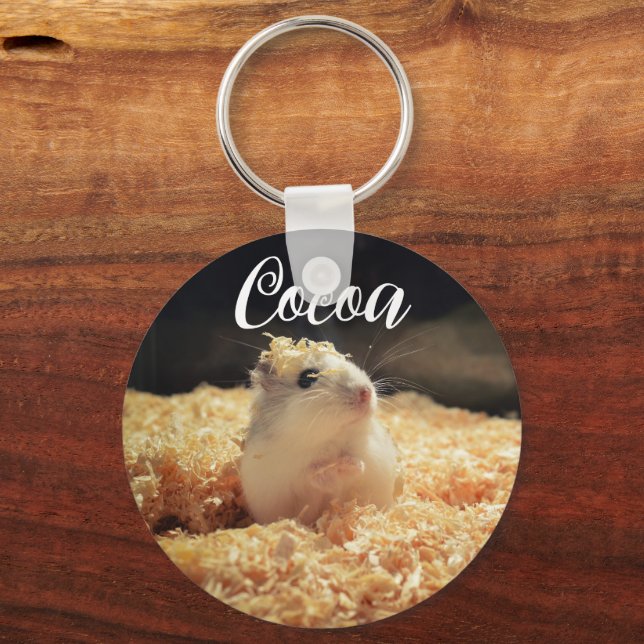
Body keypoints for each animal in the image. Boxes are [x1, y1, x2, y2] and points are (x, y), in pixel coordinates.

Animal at [240, 335, 399, 525]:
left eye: (347, 361)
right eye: (307, 378)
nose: (366, 392)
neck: (329, 438)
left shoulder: (370, 455)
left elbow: (358, 464)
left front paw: (352, 464)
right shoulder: (292, 475)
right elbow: (313, 477)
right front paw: (335, 469)